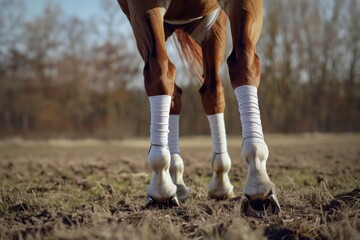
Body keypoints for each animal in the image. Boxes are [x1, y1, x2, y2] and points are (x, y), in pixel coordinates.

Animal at [116, 0, 280, 218]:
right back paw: (176, 180)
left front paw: (258, 181)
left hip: (212, 27)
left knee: (212, 91)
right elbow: (159, 72)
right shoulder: (141, 7)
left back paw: (220, 181)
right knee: (173, 88)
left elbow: (243, 62)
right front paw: (161, 184)